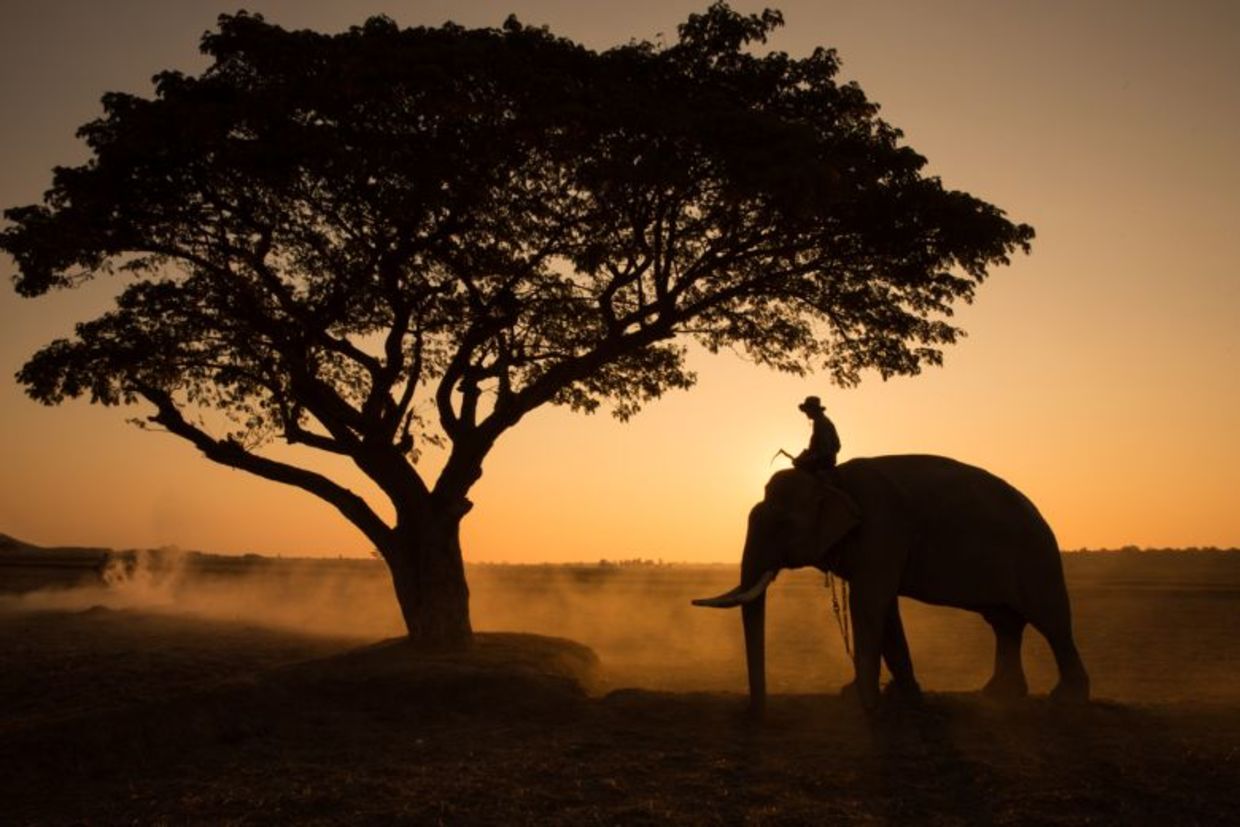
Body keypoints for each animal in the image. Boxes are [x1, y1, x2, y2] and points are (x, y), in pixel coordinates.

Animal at [693, 455, 1090, 713]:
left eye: (784, 525)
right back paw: (998, 696)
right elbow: (884, 608)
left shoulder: (883, 527)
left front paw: (863, 702)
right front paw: (898, 696)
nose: (756, 711)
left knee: (1051, 622)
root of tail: (1039, 513)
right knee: (1004, 622)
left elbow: (869, 601)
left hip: (1036, 558)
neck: (831, 480)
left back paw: (1066, 699)